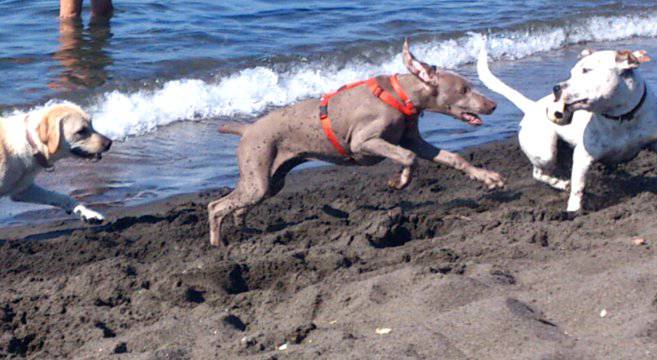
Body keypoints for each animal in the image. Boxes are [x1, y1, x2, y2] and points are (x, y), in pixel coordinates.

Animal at [210, 40, 502, 246]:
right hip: (258, 179)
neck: (401, 95)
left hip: (272, 181)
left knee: (237, 206)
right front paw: (399, 181)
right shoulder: (362, 143)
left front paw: (487, 177)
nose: (493, 104)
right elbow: (408, 157)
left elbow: (453, 158)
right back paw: (218, 244)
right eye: (463, 90)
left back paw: (244, 227)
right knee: (216, 206)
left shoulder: (414, 141)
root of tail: (247, 129)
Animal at [476, 46, 652, 212]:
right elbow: (578, 187)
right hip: (545, 153)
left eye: (586, 71)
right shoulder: (582, 156)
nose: (556, 88)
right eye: (572, 73)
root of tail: (532, 107)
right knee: (538, 173)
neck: (621, 117)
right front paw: (573, 211)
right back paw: (560, 183)